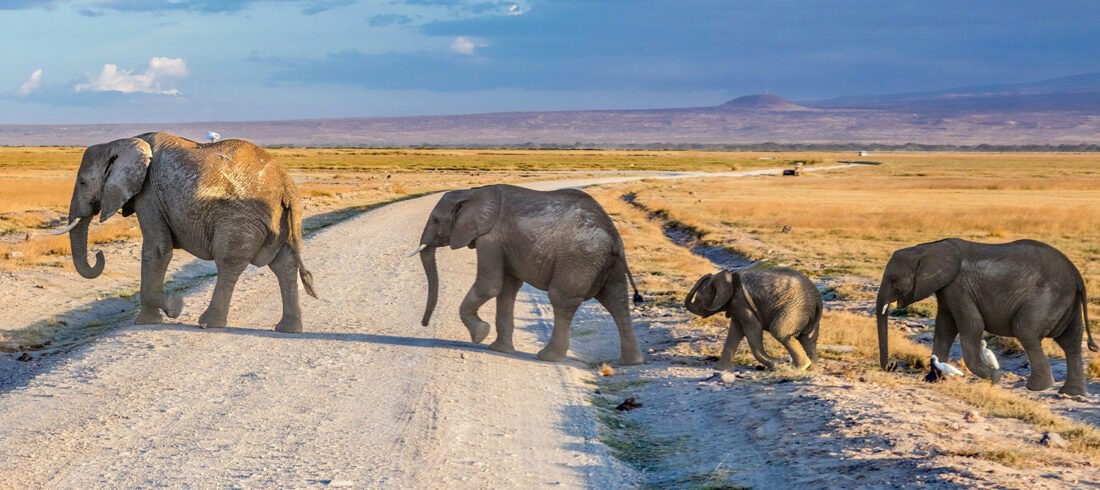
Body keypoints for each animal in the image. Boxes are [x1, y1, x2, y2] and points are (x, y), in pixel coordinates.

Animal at [57, 132, 317, 332]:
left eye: (82, 183)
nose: (99, 254)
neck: (121, 142)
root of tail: (286, 186)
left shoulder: (149, 194)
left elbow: (157, 249)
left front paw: (172, 308)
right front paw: (156, 317)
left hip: (240, 220)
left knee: (229, 263)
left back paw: (209, 324)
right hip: (282, 220)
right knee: (284, 265)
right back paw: (288, 329)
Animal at [413, 184, 645, 365]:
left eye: (435, 220)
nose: (424, 324)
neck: (472, 193)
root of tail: (614, 237)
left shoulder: (490, 238)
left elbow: (490, 285)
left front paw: (479, 336)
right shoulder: (503, 243)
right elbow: (506, 289)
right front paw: (498, 349)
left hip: (578, 259)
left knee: (562, 300)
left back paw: (548, 357)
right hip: (607, 264)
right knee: (617, 301)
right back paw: (631, 362)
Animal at [685, 268, 822, 371]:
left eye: (699, 299)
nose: (707, 275)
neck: (729, 277)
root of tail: (818, 299)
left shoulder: (741, 301)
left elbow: (753, 328)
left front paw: (777, 365)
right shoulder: (737, 305)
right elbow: (735, 331)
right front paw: (720, 369)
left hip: (794, 309)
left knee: (779, 331)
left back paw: (798, 368)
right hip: (806, 313)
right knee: (808, 338)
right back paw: (811, 369)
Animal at [876, 238, 1097, 396]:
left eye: (893, 279)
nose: (891, 366)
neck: (927, 248)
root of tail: (1077, 277)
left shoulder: (959, 287)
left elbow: (972, 326)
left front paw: (995, 377)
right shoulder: (947, 289)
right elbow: (945, 327)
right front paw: (931, 379)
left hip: (1047, 297)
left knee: (1025, 331)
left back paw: (1037, 388)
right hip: (1066, 301)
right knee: (1071, 342)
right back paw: (1072, 394)